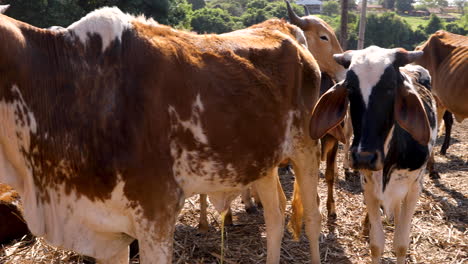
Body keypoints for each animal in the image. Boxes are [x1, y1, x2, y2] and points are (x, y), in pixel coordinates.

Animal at [0, 6, 324, 264]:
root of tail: (282, 27)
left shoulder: (156, 217)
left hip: (306, 148)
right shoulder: (108, 231)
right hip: (261, 160)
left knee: (311, 219)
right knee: (275, 215)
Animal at [308, 46, 436, 262]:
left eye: (391, 87)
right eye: (350, 87)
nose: (364, 157)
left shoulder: (414, 188)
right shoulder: (368, 186)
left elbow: (401, 244)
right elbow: (377, 245)